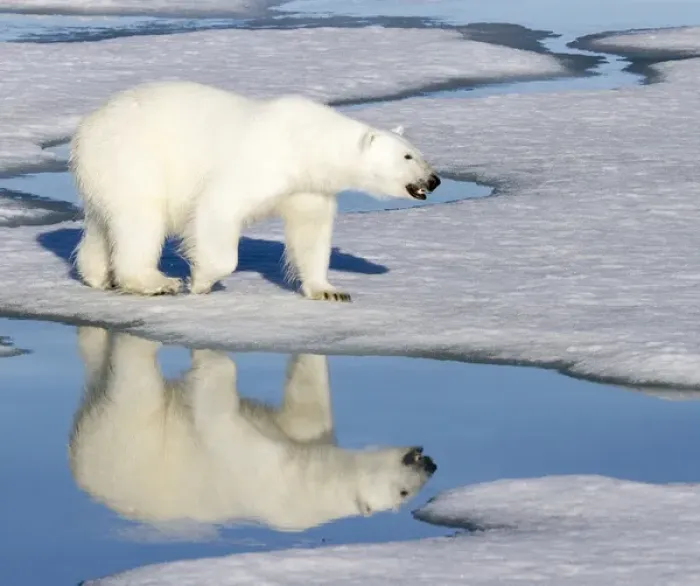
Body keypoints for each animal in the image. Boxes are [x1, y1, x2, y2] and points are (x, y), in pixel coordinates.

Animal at [69, 81, 441, 301]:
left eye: (420, 153)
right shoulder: (258, 164)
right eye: (408, 157)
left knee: (104, 222)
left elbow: (311, 233)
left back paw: (97, 276)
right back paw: (155, 282)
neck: (305, 142)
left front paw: (329, 290)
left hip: (105, 172)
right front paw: (201, 281)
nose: (434, 180)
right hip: (134, 157)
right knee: (141, 219)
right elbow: (217, 208)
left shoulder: (307, 186)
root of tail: (86, 127)